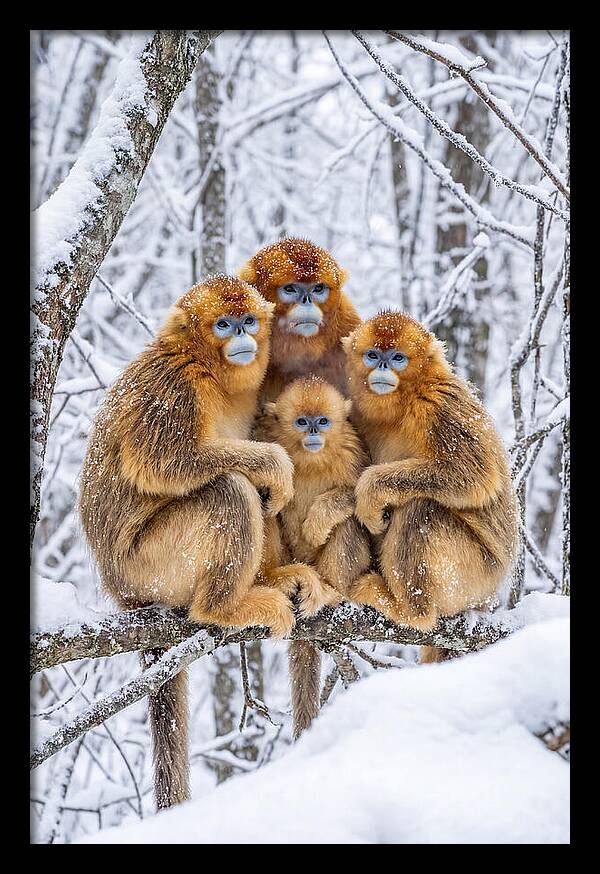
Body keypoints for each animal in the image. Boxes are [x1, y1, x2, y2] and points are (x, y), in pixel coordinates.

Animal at [79, 276, 307, 810]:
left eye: (247, 320)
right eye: (223, 324)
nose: (241, 335)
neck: (210, 370)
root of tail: (121, 590)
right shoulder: (174, 386)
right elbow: (165, 464)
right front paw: (273, 461)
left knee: (255, 496)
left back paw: (272, 579)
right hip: (151, 565)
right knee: (230, 490)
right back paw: (224, 607)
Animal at [261, 377, 373, 737]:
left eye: (322, 421)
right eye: (301, 421)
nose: (312, 431)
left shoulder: (353, 450)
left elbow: (361, 497)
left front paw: (317, 522)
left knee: (349, 522)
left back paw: (331, 591)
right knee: (264, 504)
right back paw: (276, 579)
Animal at [341, 310, 518, 663]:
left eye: (397, 358)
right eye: (373, 355)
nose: (383, 367)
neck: (406, 400)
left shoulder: (438, 404)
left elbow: (475, 476)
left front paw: (371, 490)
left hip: (475, 576)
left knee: (420, 509)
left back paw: (410, 610)